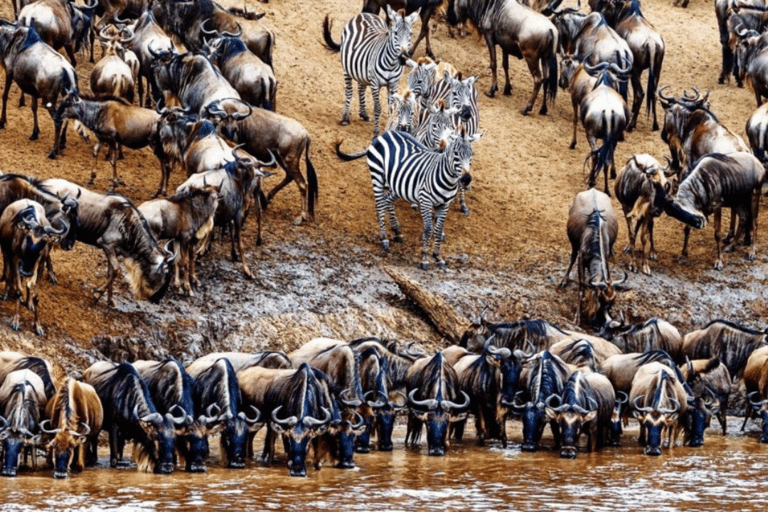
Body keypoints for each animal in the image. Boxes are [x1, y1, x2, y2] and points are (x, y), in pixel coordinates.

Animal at [322, 7, 424, 138]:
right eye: (395, 33)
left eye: (410, 34)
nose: (403, 58)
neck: (391, 64)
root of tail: (365, 14)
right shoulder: (375, 83)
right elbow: (377, 108)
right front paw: (376, 133)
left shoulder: (393, 84)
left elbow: (392, 109)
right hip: (347, 69)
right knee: (349, 91)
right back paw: (345, 118)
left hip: (362, 71)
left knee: (361, 88)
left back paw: (363, 114)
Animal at [334, 126, 480, 270]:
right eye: (455, 153)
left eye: (471, 154)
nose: (466, 179)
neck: (448, 181)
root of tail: (386, 134)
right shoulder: (425, 201)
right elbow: (428, 230)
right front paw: (424, 260)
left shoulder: (444, 205)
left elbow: (438, 231)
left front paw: (438, 257)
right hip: (377, 175)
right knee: (380, 204)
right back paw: (384, 238)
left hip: (398, 185)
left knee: (387, 200)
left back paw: (396, 231)